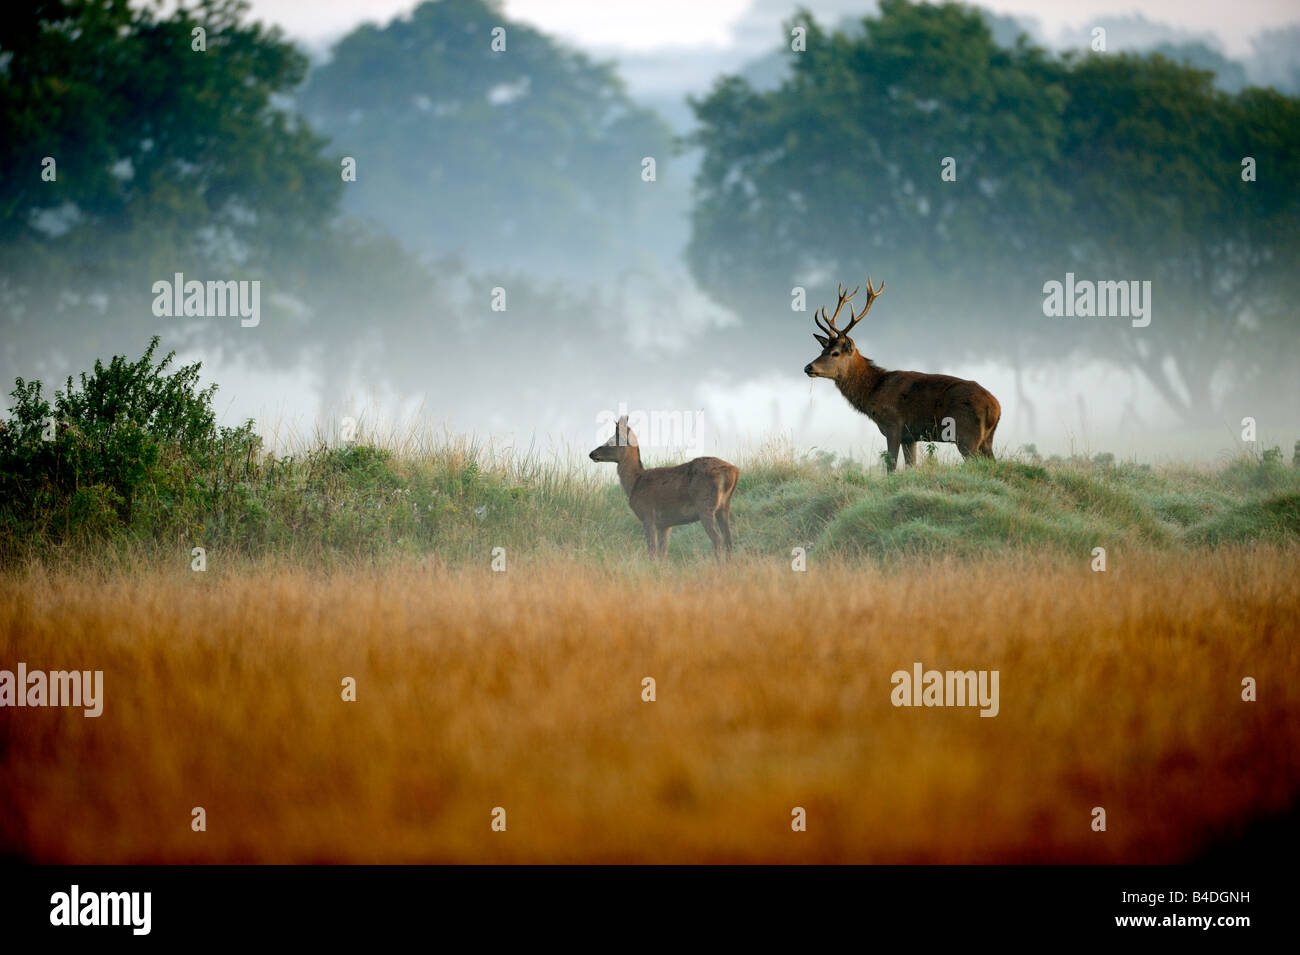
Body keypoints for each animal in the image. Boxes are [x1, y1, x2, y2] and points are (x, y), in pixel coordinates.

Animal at [592, 415, 738, 561]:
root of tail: (733, 471)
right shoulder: (665, 524)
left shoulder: (647, 515)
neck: (635, 482)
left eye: (611, 441)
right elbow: (663, 553)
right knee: (729, 539)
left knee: (717, 539)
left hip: (705, 504)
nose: (591, 453)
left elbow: (652, 552)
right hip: (724, 506)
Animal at [800, 276, 1003, 470]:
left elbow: (891, 465)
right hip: (987, 438)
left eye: (835, 353)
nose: (808, 367)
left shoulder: (893, 425)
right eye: (822, 350)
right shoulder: (910, 436)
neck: (874, 390)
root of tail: (995, 408)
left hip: (966, 434)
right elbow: (911, 465)